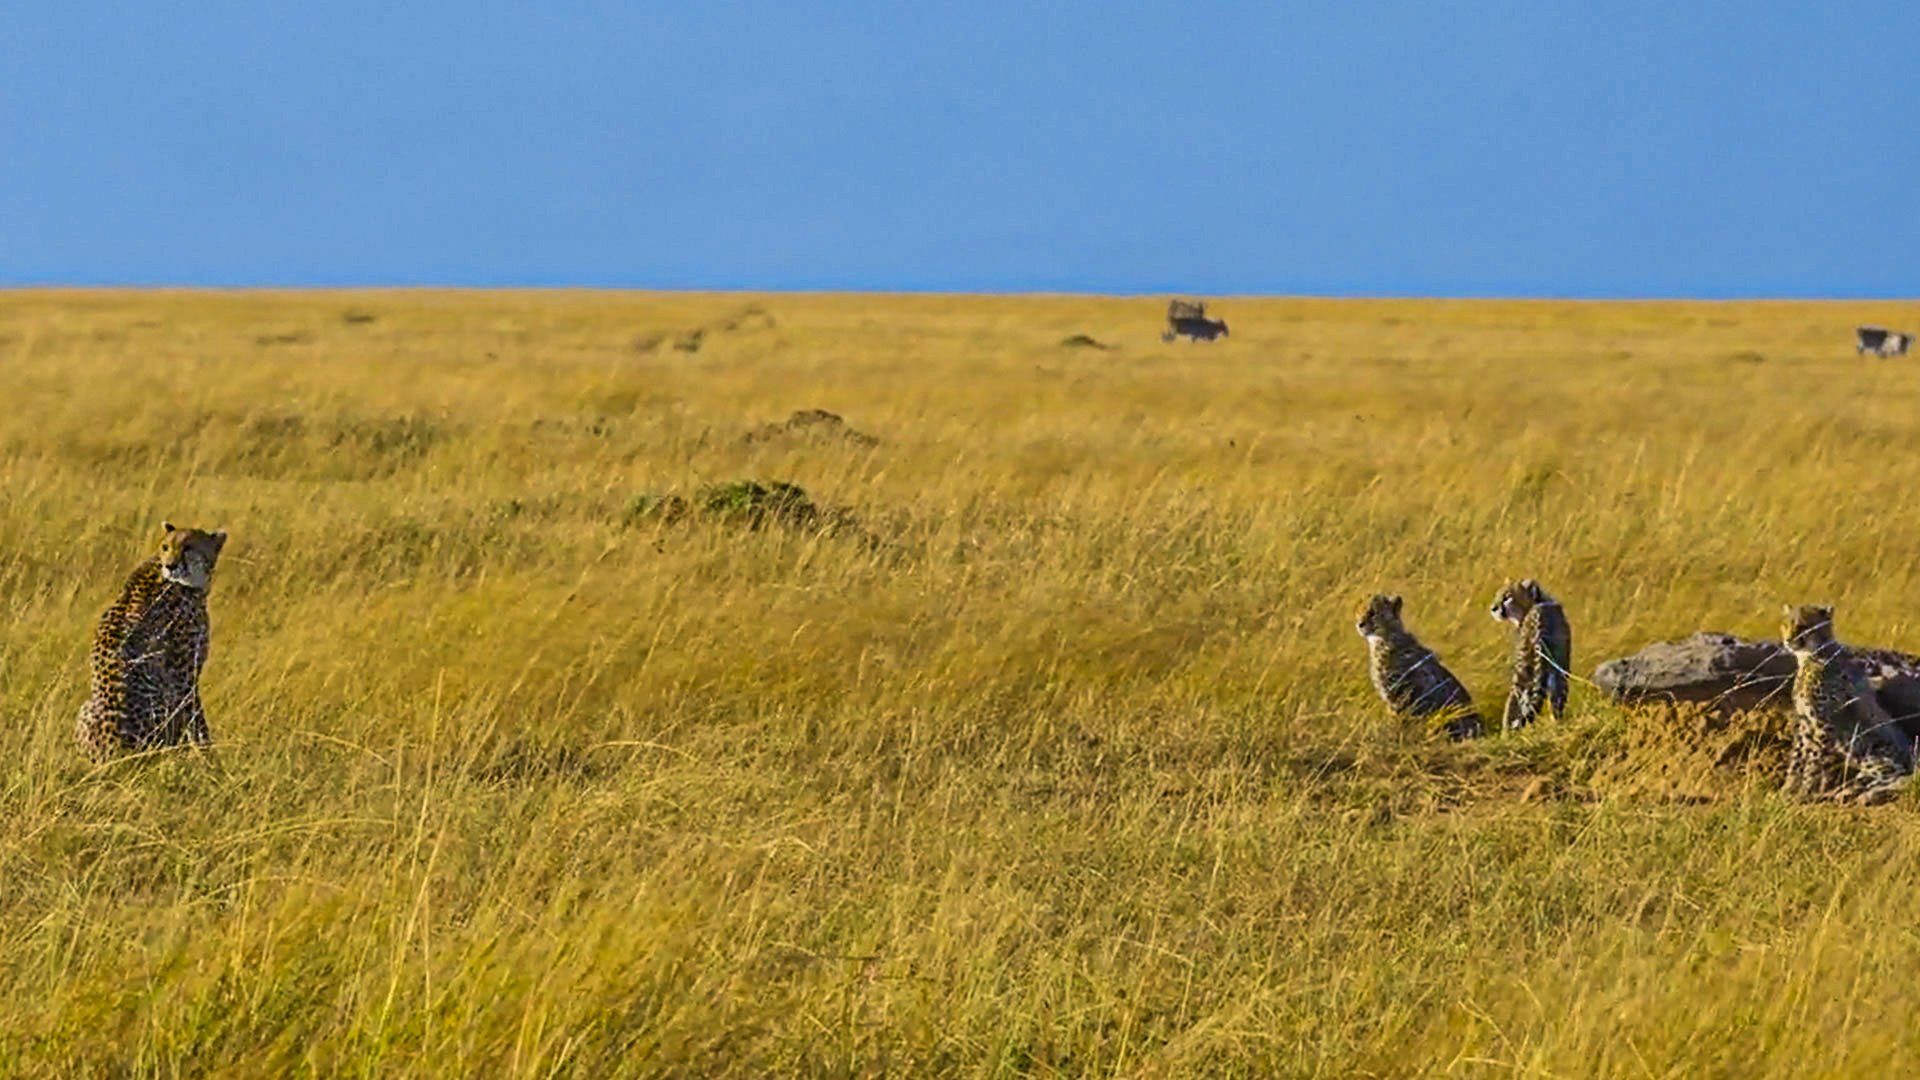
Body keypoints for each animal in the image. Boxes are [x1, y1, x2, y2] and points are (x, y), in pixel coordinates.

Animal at [75, 522, 228, 761]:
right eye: (165, 547)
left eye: (188, 547)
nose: (171, 565)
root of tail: (116, 752)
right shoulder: (184, 680)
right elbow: (199, 726)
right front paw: (212, 760)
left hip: (87, 707)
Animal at [1355, 593, 1483, 741]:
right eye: (1359, 611)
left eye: (1373, 613)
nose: (1359, 624)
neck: (1385, 638)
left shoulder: (1400, 697)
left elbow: (1395, 721)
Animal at [1489, 578, 1573, 730]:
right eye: (1496, 595)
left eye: (1507, 597)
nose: (1493, 608)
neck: (1538, 602)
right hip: (1558, 671)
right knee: (1555, 703)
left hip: (1523, 674)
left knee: (1514, 703)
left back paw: (1507, 732)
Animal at [1780, 604, 1913, 805]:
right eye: (1786, 624)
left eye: (1803, 626)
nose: (1787, 640)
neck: (1812, 656)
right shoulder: (1805, 724)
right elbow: (1797, 759)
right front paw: (1788, 789)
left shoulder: (1823, 726)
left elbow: (1813, 763)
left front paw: (1804, 792)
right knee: (1870, 780)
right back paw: (1844, 792)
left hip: (1873, 754)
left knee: (1898, 779)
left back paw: (1866, 795)